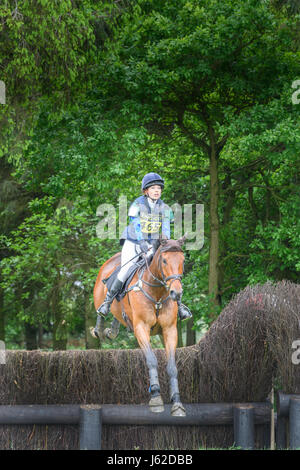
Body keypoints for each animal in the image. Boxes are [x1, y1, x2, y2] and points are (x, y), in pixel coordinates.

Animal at [91, 237, 186, 416]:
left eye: (182, 261)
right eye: (164, 260)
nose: (176, 293)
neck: (157, 293)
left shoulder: (170, 330)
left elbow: (172, 367)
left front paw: (177, 403)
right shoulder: (141, 328)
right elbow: (152, 360)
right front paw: (155, 397)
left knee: (117, 316)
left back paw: (112, 330)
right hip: (100, 296)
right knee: (102, 309)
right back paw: (99, 329)